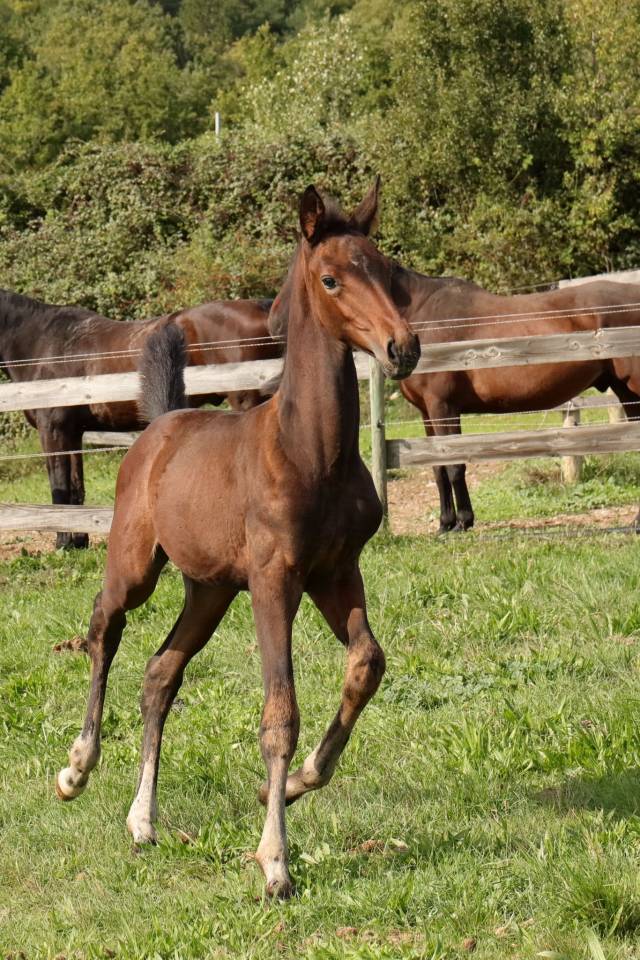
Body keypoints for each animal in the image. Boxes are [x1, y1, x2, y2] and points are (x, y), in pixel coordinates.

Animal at [0, 292, 280, 547]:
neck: (43, 345)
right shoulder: (72, 433)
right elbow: (76, 488)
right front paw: (79, 541)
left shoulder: (53, 430)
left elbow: (60, 488)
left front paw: (63, 543)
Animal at [55, 181, 420, 899]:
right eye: (331, 278)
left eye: (390, 271)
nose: (403, 349)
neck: (312, 453)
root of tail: (161, 425)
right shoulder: (276, 581)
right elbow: (279, 715)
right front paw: (275, 861)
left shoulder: (336, 572)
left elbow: (367, 663)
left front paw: (300, 782)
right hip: (136, 565)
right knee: (104, 628)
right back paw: (77, 768)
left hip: (211, 589)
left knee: (160, 673)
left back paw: (143, 821)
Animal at [269, 181, 640, 533]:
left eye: (323, 278)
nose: (274, 323)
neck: (422, 313)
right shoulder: (426, 412)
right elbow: (435, 465)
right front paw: (446, 522)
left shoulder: (443, 406)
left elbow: (454, 464)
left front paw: (463, 520)